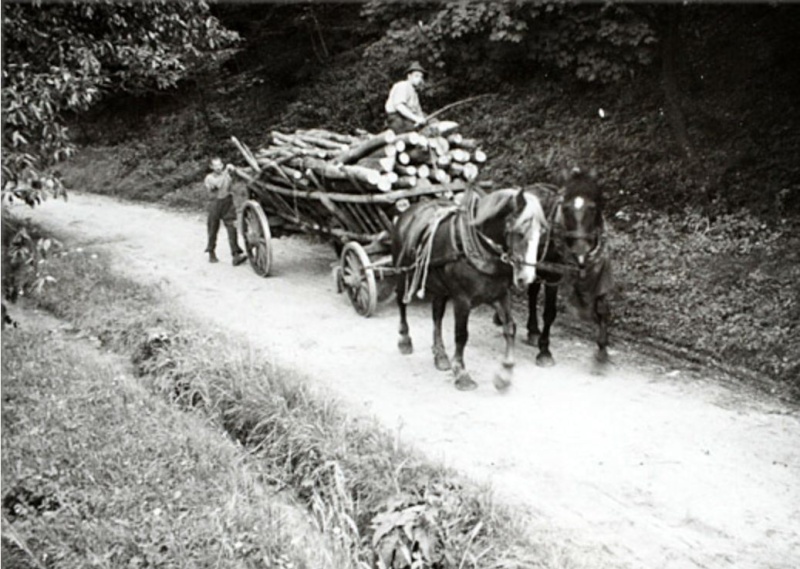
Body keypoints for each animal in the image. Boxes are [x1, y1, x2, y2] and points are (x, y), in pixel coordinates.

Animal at [390, 186, 548, 390]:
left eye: (541, 234)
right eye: (520, 232)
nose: (525, 278)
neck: (482, 249)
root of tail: (408, 211)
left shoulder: (500, 294)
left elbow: (510, 328)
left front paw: (505, 373)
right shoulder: (462, 300)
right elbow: (461, 334)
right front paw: (461, 373)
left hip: (440, 288)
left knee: (437, 316)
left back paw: (440, 355)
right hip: (403, 275)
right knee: (402, 303)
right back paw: (404, 340)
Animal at [524, 169, 612, 366]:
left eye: (593, 208)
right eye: (565, 209)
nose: (580, 250)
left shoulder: (597, 273)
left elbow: (602, 307)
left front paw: (602, 349)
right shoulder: (553, 274)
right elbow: (549, 312)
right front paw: (545, 352)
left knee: (532, 293)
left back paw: (533, 331)